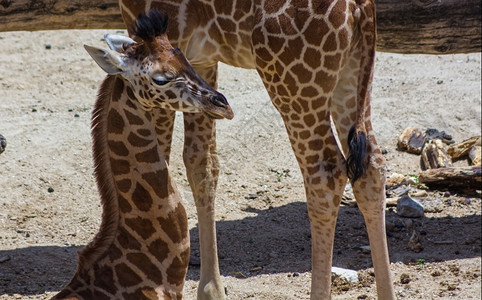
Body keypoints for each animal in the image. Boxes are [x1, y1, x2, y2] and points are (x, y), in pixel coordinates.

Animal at [119, 1, 396, 298]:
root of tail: (360, 6)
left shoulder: (160, 47)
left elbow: (156, 164)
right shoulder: (200, 59)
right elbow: (202, 163)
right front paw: (211, 289)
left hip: (294, 80)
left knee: (326, 176)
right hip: (351, 71)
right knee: (372, 168)